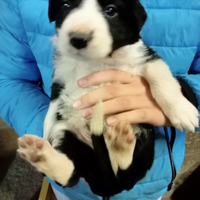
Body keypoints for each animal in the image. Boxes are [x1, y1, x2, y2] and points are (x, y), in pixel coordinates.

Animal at [17, 0, 198, 198]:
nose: (78, 39)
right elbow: (50, 113)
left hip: (145, 139)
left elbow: (160, 77)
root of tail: (103, 177)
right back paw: (41, 155)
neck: (97, 61)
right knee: (71, 174)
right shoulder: (59, 80)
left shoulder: (145, 56)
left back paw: (119, 143)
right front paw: (44, 135)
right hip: (66, 134)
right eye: (66, 5)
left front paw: (183, 111)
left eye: (110, 10)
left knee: (126, 172)